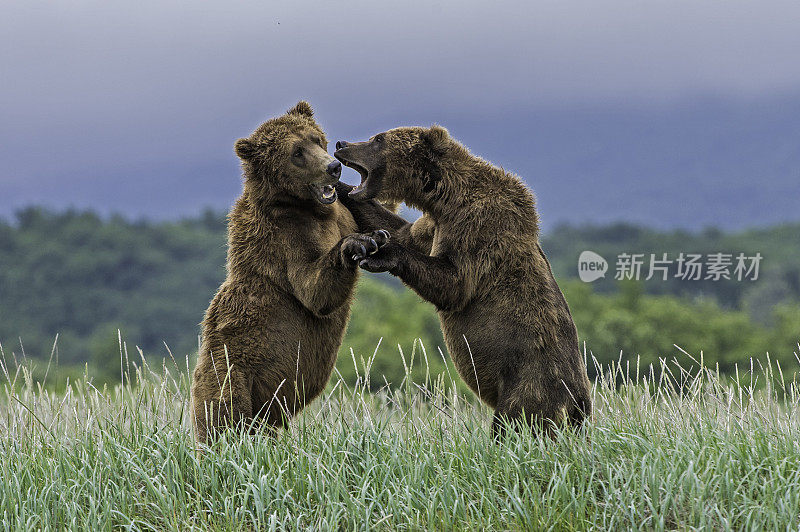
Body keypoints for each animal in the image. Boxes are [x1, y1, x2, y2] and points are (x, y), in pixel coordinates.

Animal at [189, 102, 386, 442]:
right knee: (225, 422)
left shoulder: (340, 214)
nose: (333, 167)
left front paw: (376, 230)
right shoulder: (283, 240)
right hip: (229, 374)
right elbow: (313, 291)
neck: (308, 208)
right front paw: (357, 244)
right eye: (297, 152)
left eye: (316, 139)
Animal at [334, 125, 592, 436]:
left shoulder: (477, 225)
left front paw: (380, 252)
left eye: (378, 139)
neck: (444, 198)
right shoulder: (433, 226)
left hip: (531, 388)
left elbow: (454, 284)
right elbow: (400, 230)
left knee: (512, 426)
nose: (341, 143)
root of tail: (580, 406)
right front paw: (339, 190)